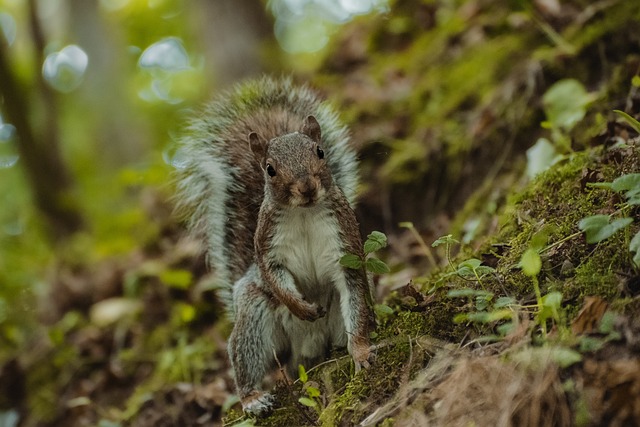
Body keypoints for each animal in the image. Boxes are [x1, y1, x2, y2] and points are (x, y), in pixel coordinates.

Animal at [175, 76, 376, 414]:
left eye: (320, 152)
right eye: (270, 169)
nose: (306, 187)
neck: (304, 213)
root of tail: (305, 348)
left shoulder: (345, 245)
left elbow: (356, 304)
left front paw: (361, 352)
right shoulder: (267, 248)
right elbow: (274, 277)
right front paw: (302, 306)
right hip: (254, 318)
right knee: (246, 358)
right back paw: (253, 397)